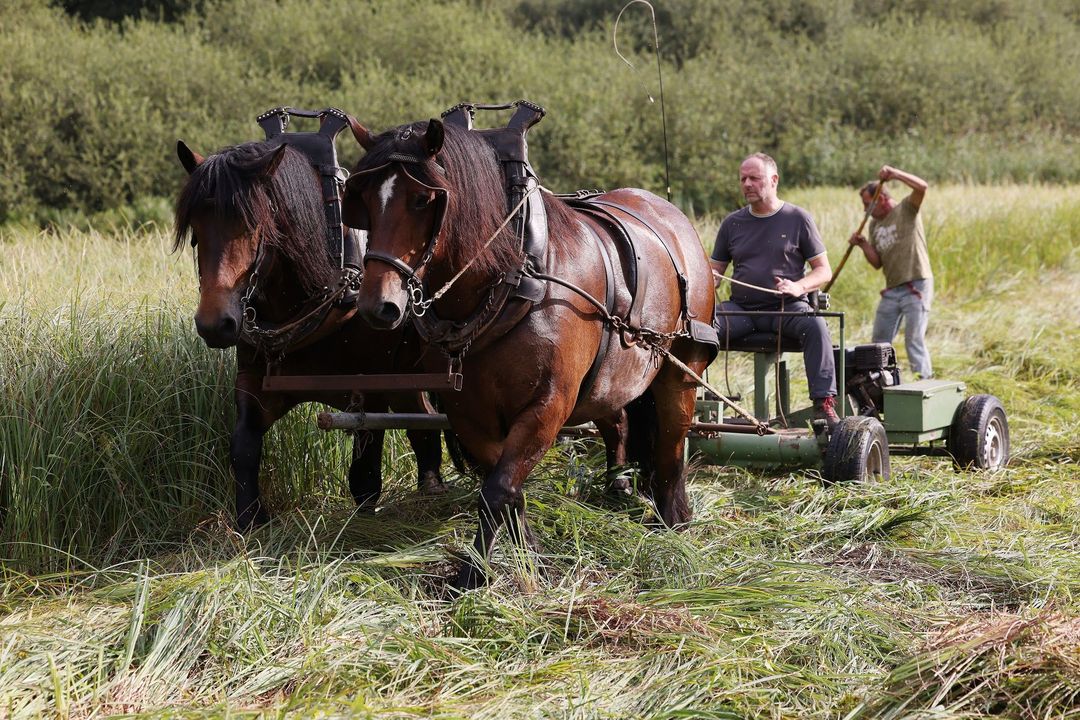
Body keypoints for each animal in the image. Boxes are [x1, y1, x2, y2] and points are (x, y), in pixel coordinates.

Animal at [171, 139, 447, 528]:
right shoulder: (253, 378)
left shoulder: (375, 385)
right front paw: (252, 520)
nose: (215, 323)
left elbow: (365, 471)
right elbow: (243, 446)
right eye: (195, 227)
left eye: (254, 224)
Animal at [343, 118, 717, 587]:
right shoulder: (467, 413)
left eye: (422, 199)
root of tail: (672, 216)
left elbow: (498, 490)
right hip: (613, 377)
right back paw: (618, 487)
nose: (378, 305)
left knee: (671, 440)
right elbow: (503, 486)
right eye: (363, 200)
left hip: (681, 365)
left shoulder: (548, 405)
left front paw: (473, 575)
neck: (514, 278)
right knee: (618, 420)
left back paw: (673, 520)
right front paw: (530, 556)